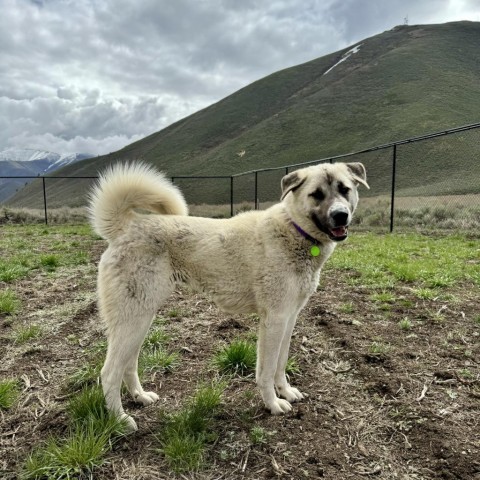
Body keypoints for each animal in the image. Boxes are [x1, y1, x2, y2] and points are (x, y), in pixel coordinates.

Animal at [88, 161, 370, 432]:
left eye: (345, 189)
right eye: (316, 194)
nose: (340, 215)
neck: (295, 230)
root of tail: (128, 225)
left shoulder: (289, 318)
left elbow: (281, 364)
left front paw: (286, 392)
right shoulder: (275, 320)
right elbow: (267, 370)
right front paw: (273, 404)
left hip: (140, 319)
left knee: (128, 364)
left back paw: (140, 397)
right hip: (132, 320)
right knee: (109, 373)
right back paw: (120, 420)